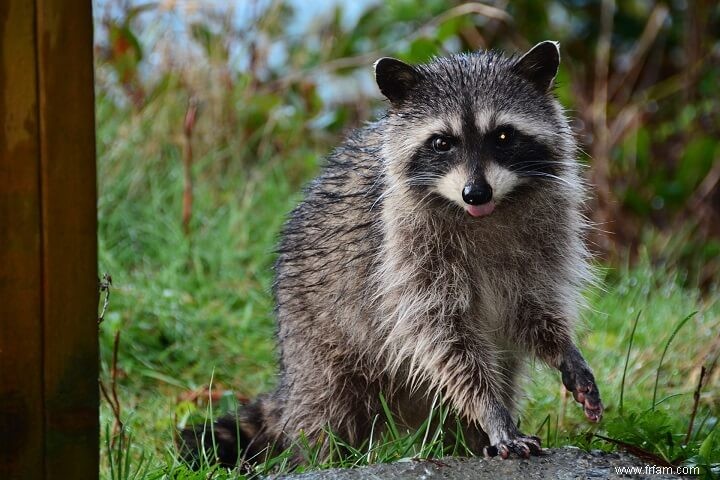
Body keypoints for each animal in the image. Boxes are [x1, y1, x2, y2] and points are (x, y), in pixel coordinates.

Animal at [179, 41, 600, 468]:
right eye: (441, 142)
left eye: (502, 135)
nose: (476, 193)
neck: (484, 215)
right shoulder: (404, 254)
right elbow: (444, 339)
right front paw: (491, 412)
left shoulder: (544, 238)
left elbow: (532, 308)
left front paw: (563, 349)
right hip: (316, 340)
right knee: (326, 409)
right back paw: (319, 455)